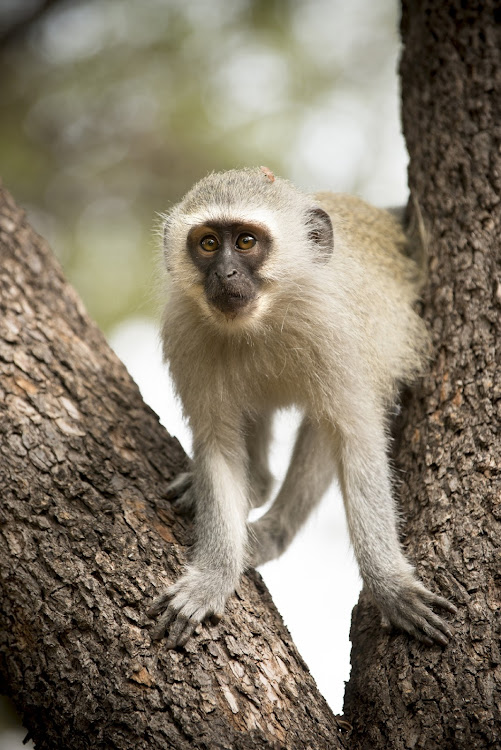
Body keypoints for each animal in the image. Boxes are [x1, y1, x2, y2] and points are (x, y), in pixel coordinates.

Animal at [146, 167, 456, 648]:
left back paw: (272, 532)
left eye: (247, 242)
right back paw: (253, 486)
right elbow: (218, 446)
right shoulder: (186, 332)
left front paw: (390, 585)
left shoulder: (335, 331)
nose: (226, 272)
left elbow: (355, 438)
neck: (264, 317)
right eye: (209, 243)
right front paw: (213, 577)